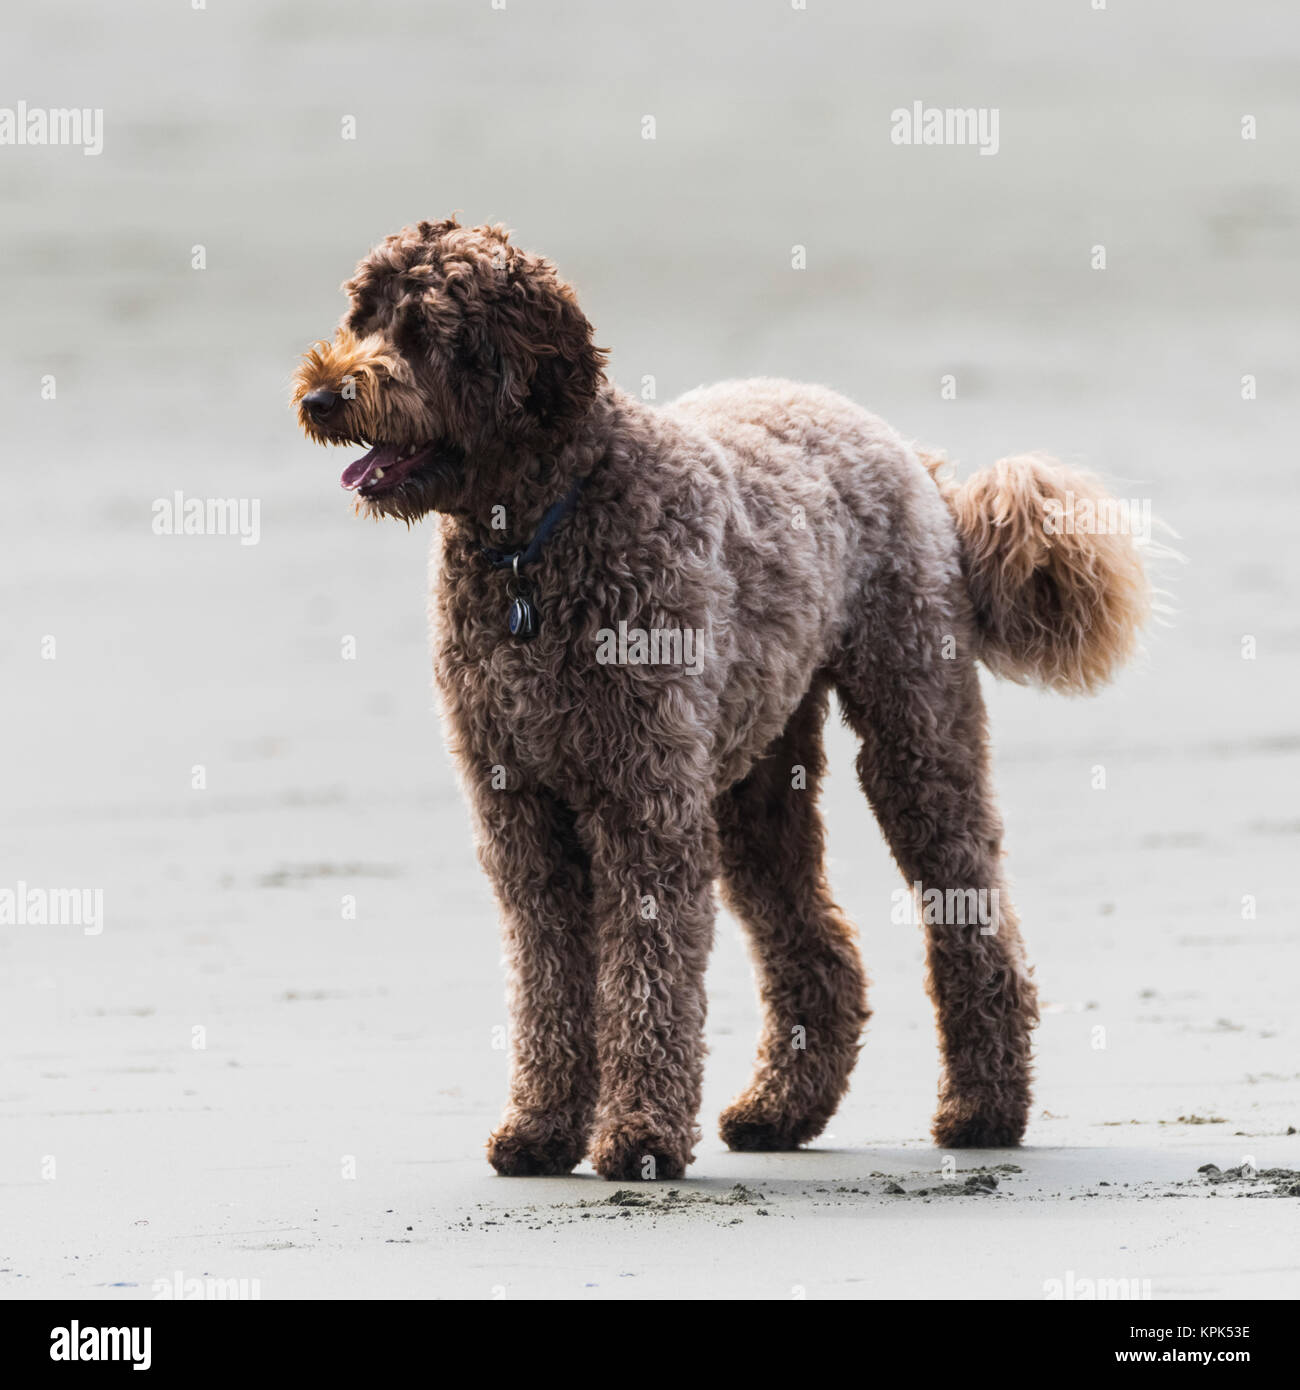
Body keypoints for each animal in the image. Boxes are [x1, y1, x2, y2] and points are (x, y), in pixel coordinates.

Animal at [291, 216, 1151, 1184]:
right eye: (360, 315)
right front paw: (543, 1127)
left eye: (424, 331)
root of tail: (910, 455)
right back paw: (782, 1109)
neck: (537, 542)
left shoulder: (646, 801)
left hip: (915, 733)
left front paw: (639, 1137)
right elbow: (549, 977)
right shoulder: (521, 809)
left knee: (972, 920)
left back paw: (984, 1110)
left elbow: (649, 973)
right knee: (818, 949)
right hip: (755, 779)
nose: (320, 396)